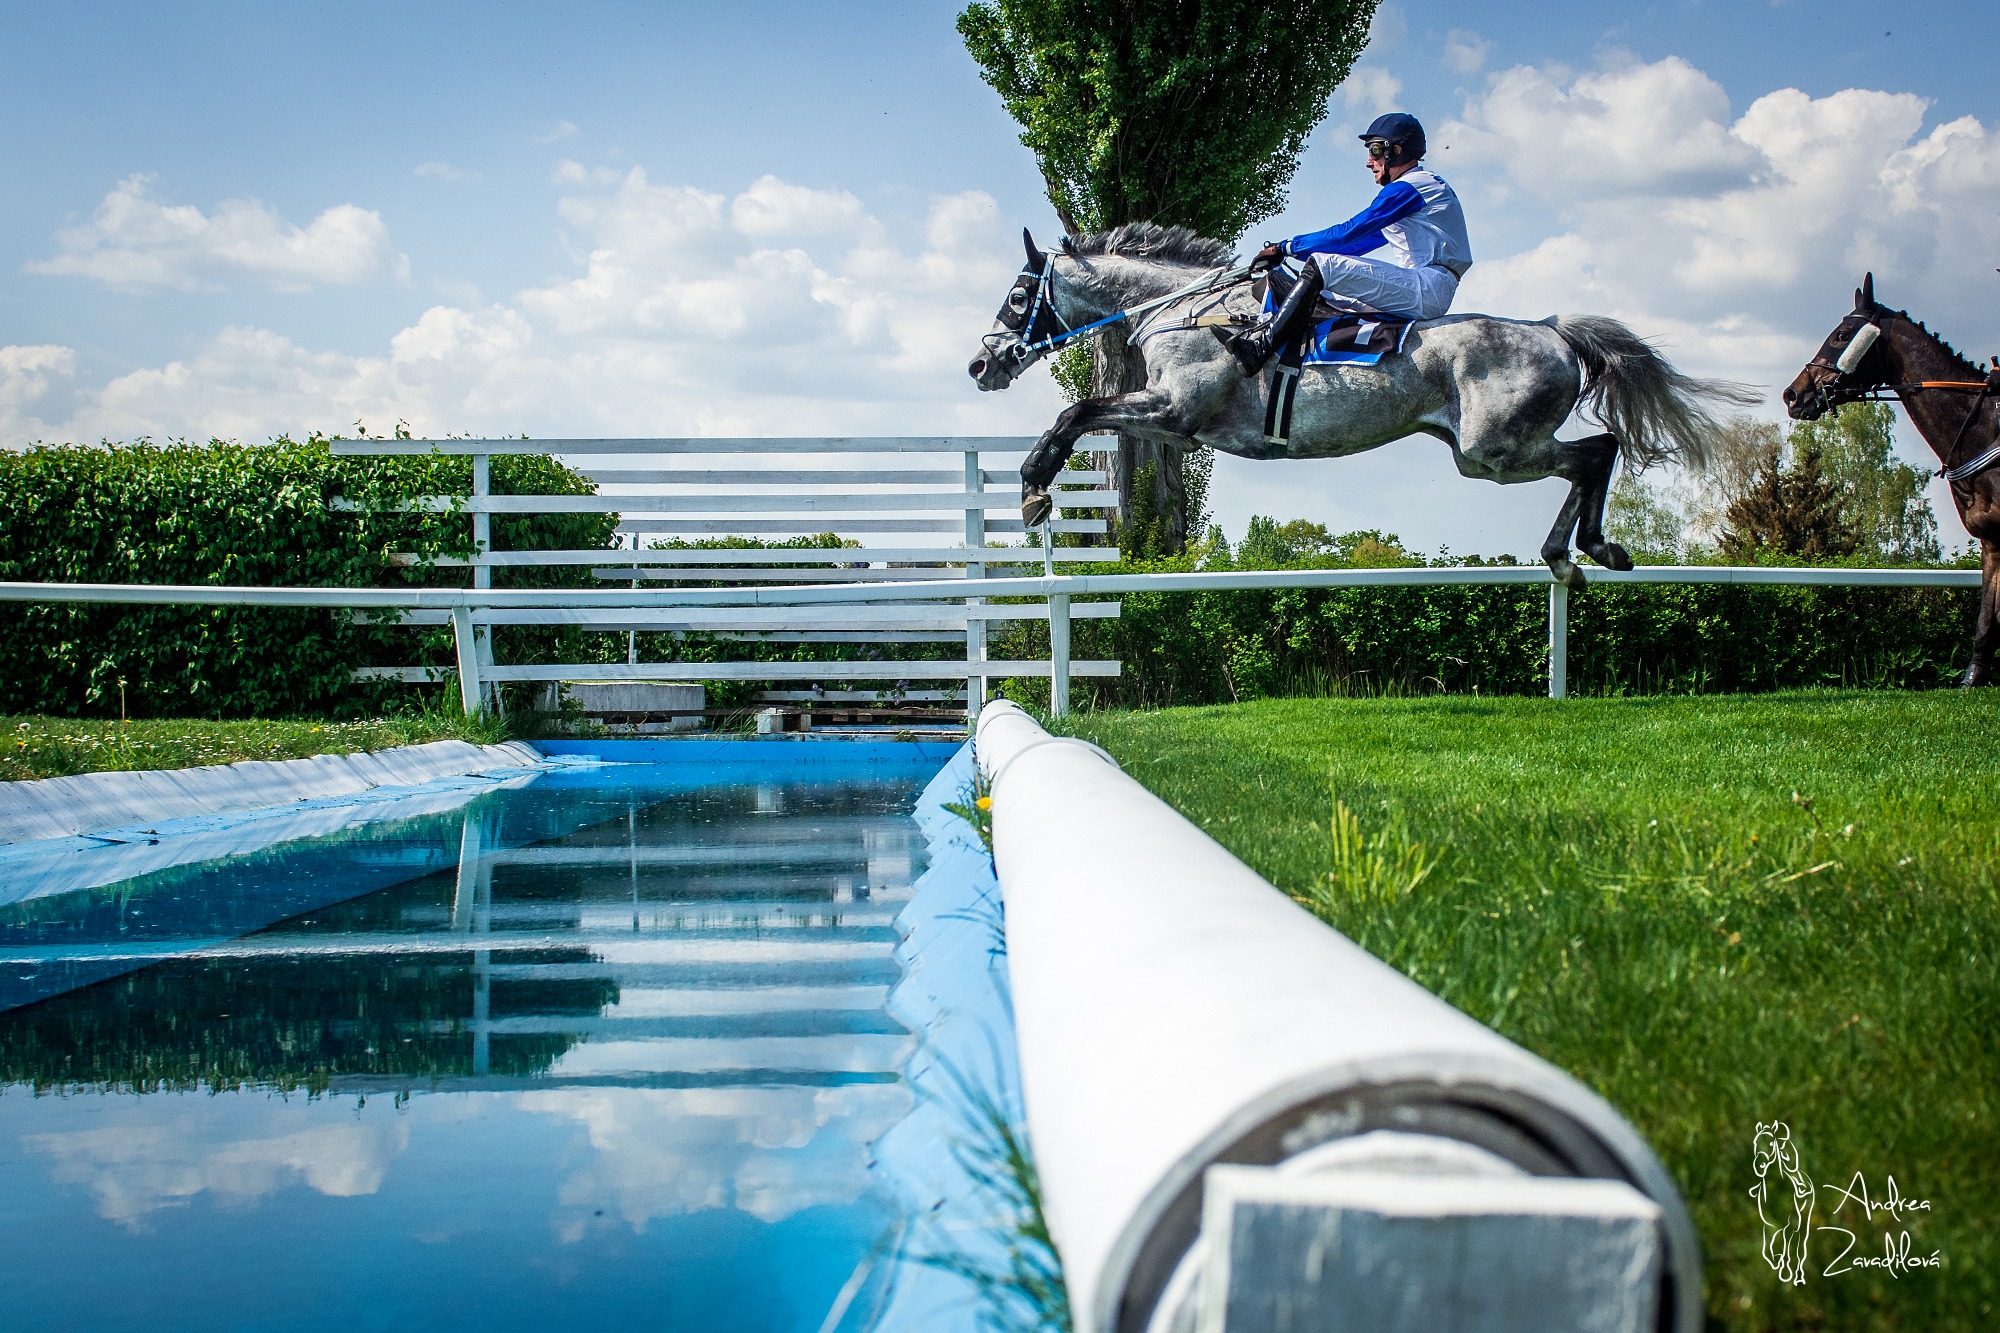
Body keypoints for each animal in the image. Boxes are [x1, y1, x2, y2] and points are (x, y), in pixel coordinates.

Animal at [964, 223, 1752, 580]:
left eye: (1017, 295)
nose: (980, 364)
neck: (1184, 311)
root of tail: (1553, 331)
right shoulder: (1173, 425)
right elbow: (1084, 414)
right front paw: (1036, 486)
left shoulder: (1175, 410)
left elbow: (1075, 413)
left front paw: (1034, 488)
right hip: (1488, 450)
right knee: (1595, 453)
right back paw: (1578, 552)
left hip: (1493, 448)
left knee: (1598, 449)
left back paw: (1581, 548)